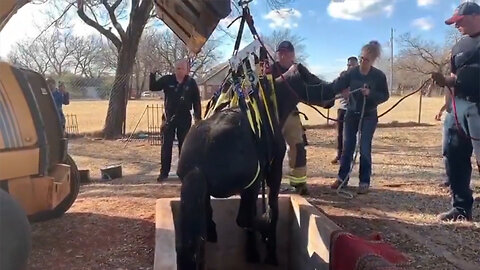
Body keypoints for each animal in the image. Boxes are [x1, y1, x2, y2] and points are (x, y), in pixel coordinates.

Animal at [174, 62, 336, 268]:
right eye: (313, 77)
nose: (332, 96)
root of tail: (197, 167)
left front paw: (252, 252)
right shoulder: (271, 173)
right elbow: (272, 207)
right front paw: (269, 250)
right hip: (250, 185)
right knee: (244, 218)